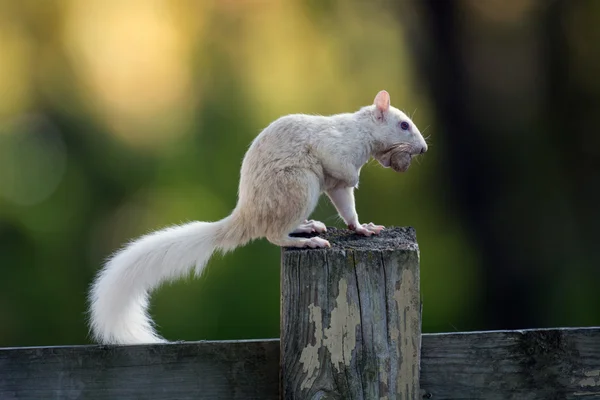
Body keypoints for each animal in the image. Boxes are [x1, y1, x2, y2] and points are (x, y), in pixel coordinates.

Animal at [88, 90, 426, 344]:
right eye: (404, 125)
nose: (423, 149)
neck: (361, 132)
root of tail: (248, 215)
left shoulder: (336, 185)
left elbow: (347, 206)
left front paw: (362, 228)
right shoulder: (335, 149)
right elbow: (343, 171)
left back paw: (307, 226)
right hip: (299, 186)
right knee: (273, 235)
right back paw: (306, 242)